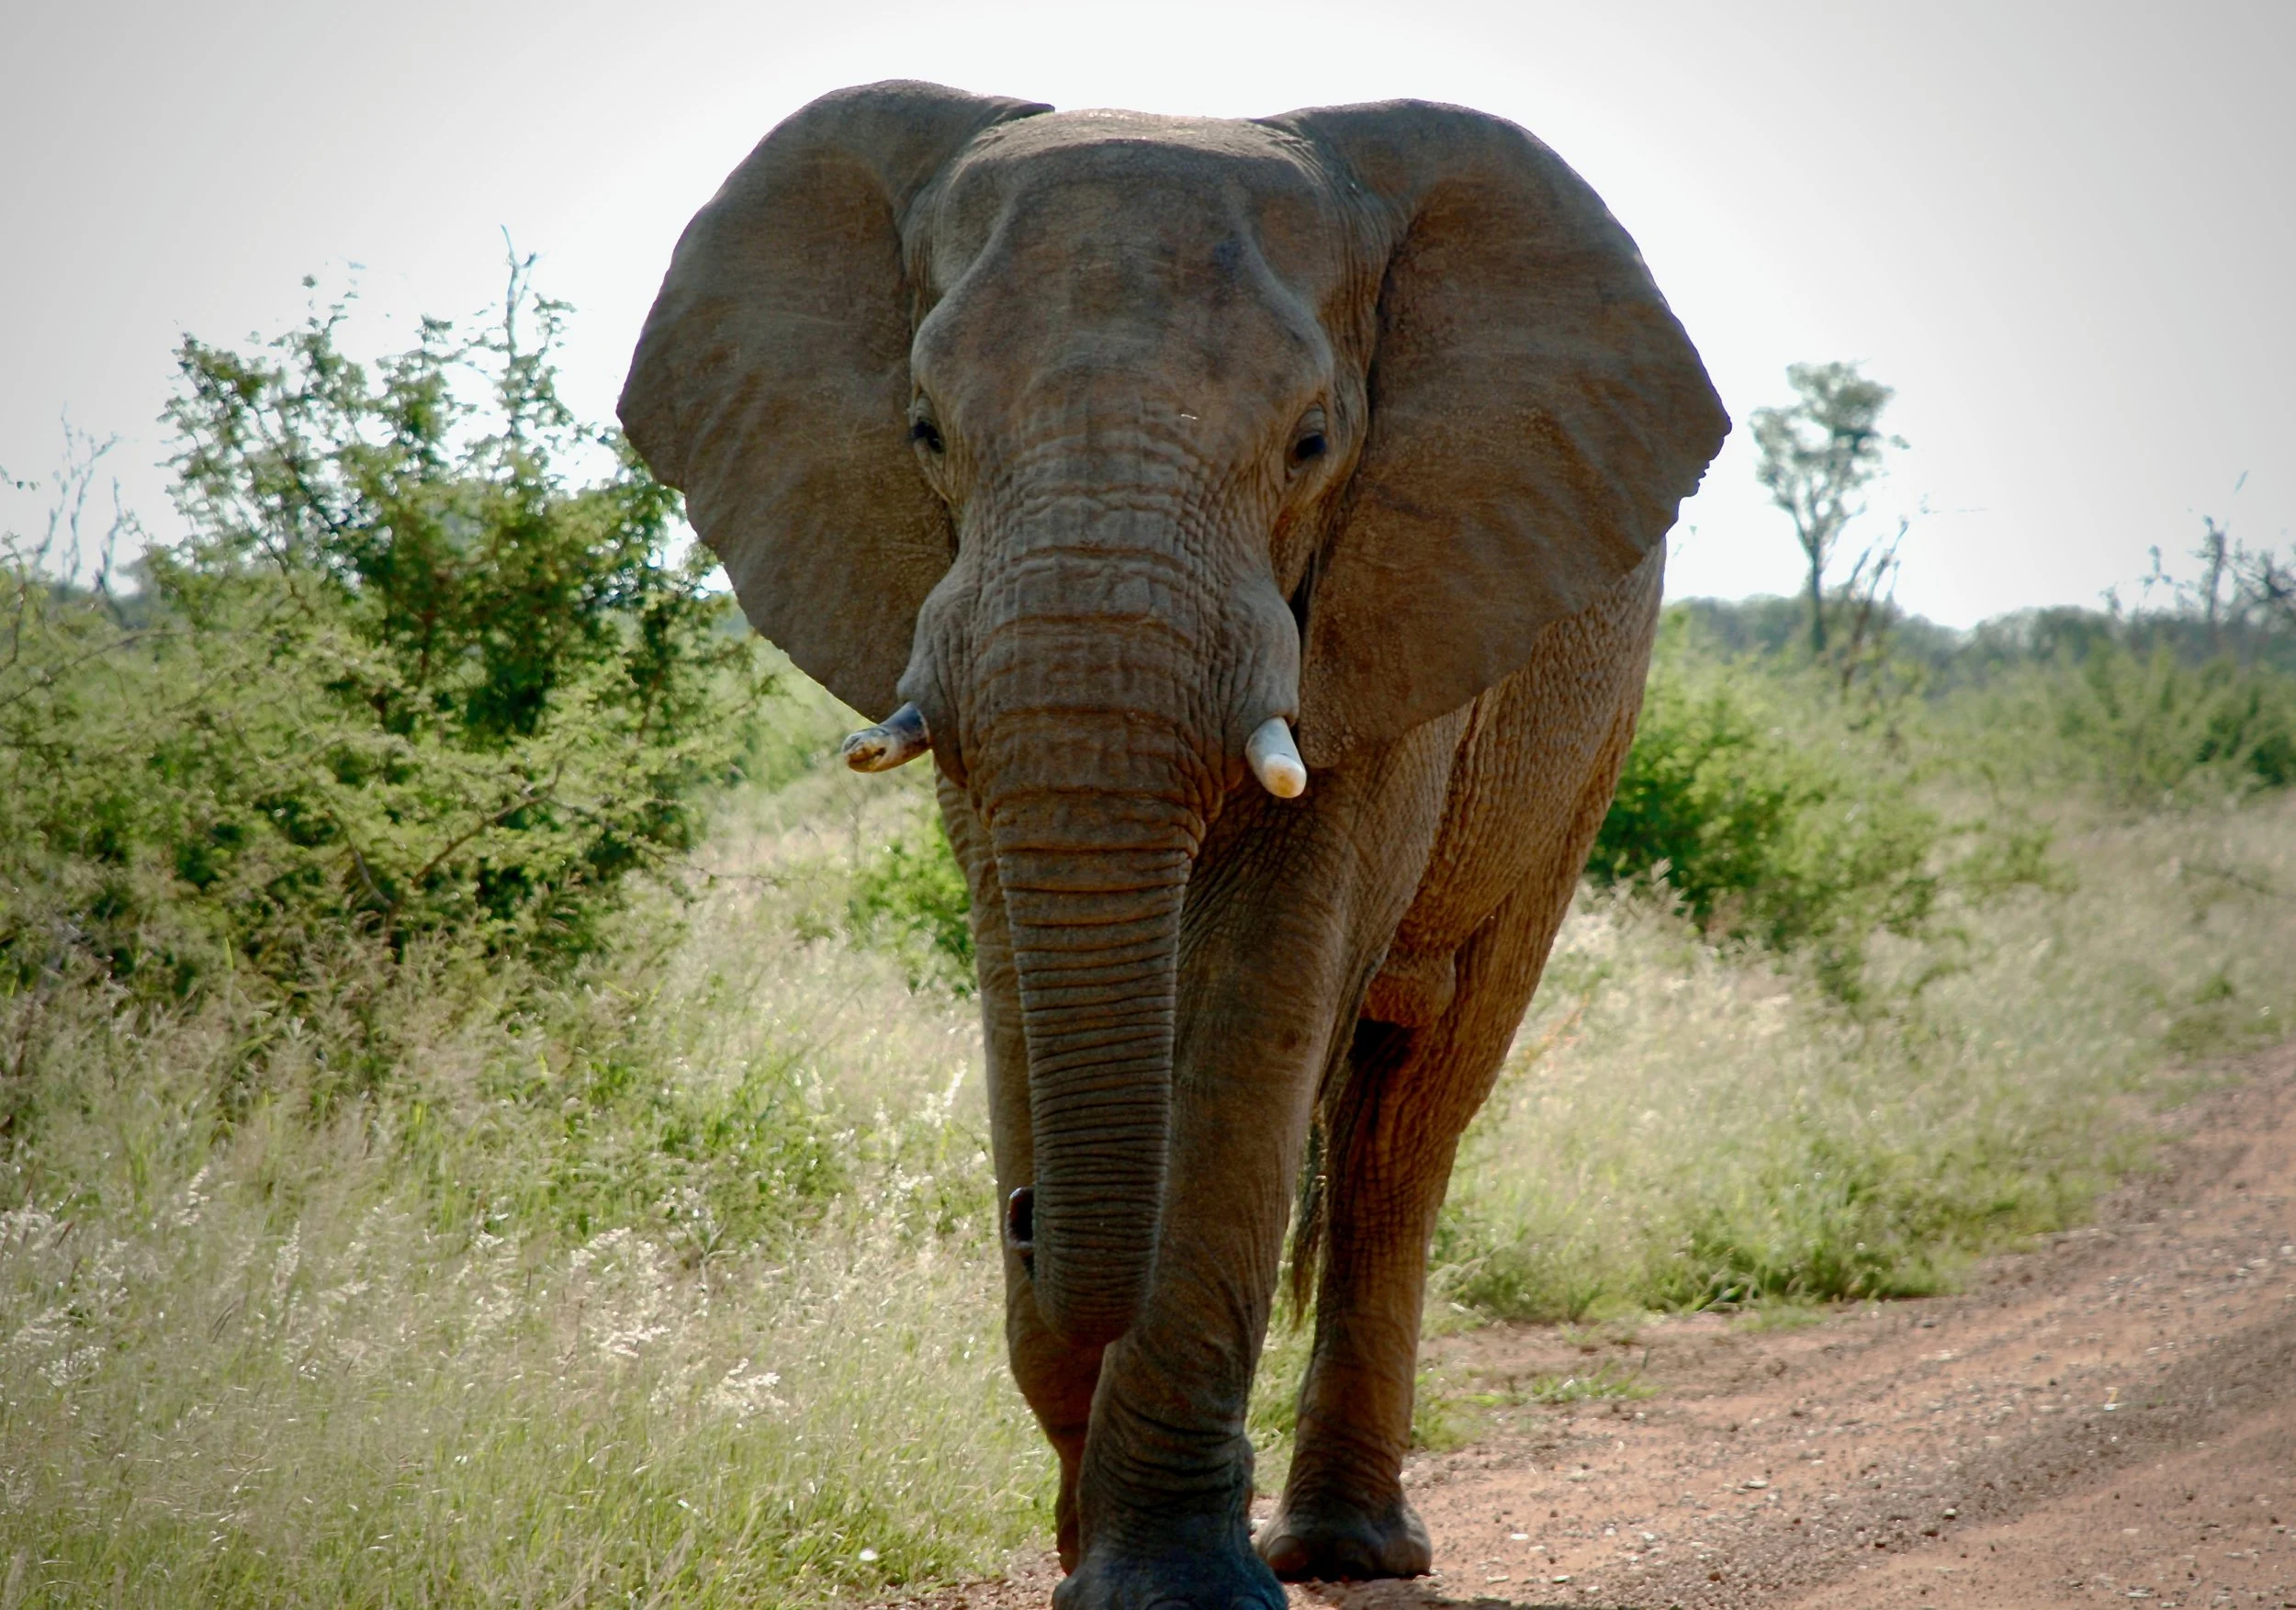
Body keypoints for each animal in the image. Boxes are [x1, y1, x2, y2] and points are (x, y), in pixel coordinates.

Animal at [620, 80, 1726, 1610]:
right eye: (924, 430)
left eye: (1313, 443)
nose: (1026, 1213)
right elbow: (1018, 967)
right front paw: (1085, 1564)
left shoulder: (1391, 596)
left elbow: (1267, 994)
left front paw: (1172, 1586)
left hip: (1586, 739)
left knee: (1409, 1115)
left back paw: (1349, 1552)